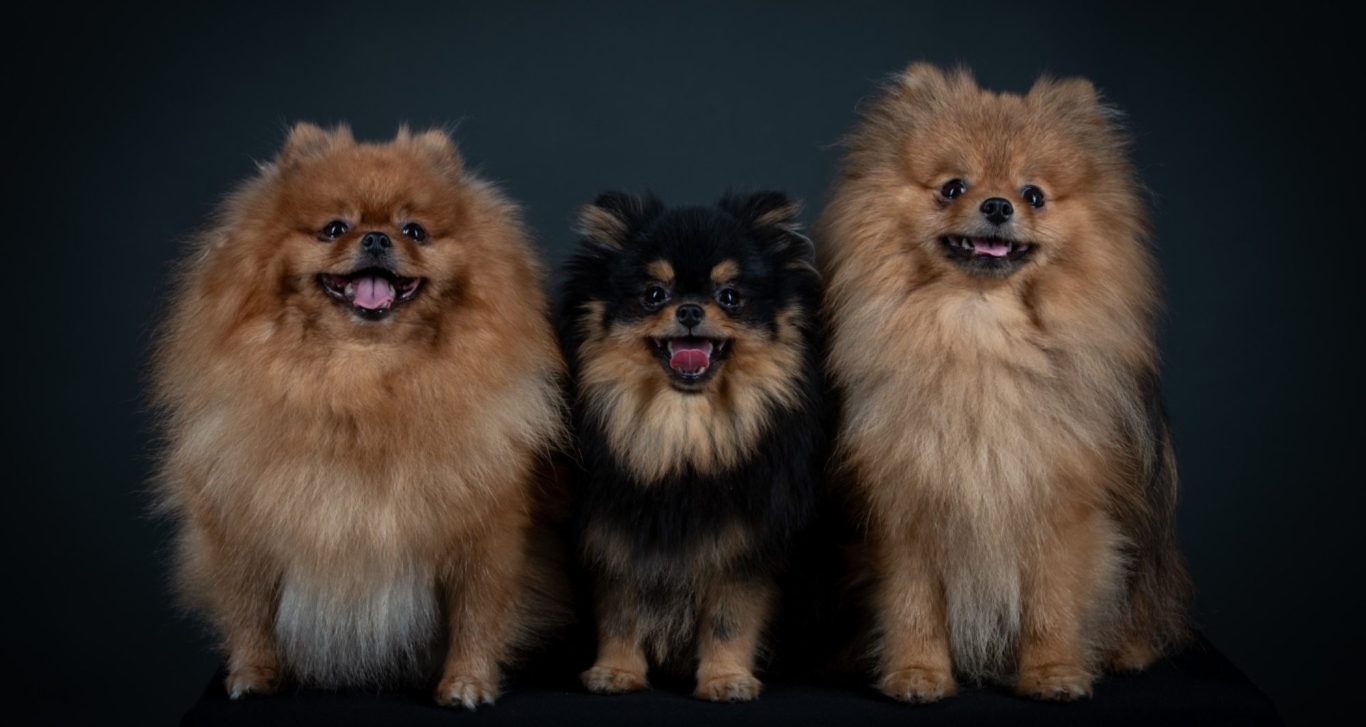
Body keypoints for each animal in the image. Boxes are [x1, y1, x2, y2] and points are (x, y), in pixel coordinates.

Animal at [152, 122, 568, 705]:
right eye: (334, 228)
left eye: (414, 230)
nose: (376, 238)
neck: (361, 378)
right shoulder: (242, 529)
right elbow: (248, 611)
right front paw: (253, 674)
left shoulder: (487, 534)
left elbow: (478, 615)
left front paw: (466, 682)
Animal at [554, 189, 819, 699]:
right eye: (654, 294)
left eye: (729, 297)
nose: (691, 310)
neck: (683, 428)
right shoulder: (617, 534)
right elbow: (620, 614)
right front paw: (616, 672)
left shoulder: (744, 544)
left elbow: (729, 619)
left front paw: (726, 679)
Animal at [814, 65, 1191, 699]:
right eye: (952, 187)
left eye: (1033, 194)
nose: (996, 205)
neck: (980, 332)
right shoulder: (909, 508)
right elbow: (913, 604)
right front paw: (917, 673)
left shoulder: (1058, 506)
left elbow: (1051, 605)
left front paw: (1053, 673)